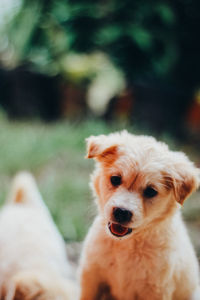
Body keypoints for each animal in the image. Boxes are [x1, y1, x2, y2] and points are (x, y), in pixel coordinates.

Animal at [79, 131, 200, 300]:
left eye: (150, 191)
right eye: (115, 179)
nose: (121, 212)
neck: (126, 244)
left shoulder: (156, 290)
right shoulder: (91, 277)